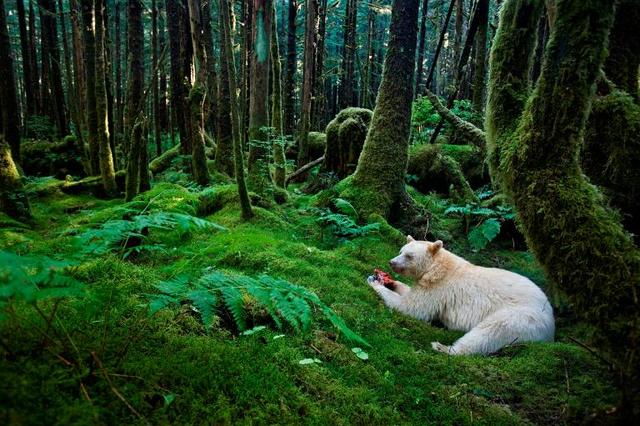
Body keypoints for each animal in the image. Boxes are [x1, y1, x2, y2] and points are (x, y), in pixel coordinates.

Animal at [368, 236, 555, 355]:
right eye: (401, 250)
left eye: (409, 255)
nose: (391, 262)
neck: (437, 267)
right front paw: (390, 282)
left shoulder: (439, 288)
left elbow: (413, 308)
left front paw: (375, 282)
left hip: (522, 317)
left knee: (490, 332)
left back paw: (443, 348)